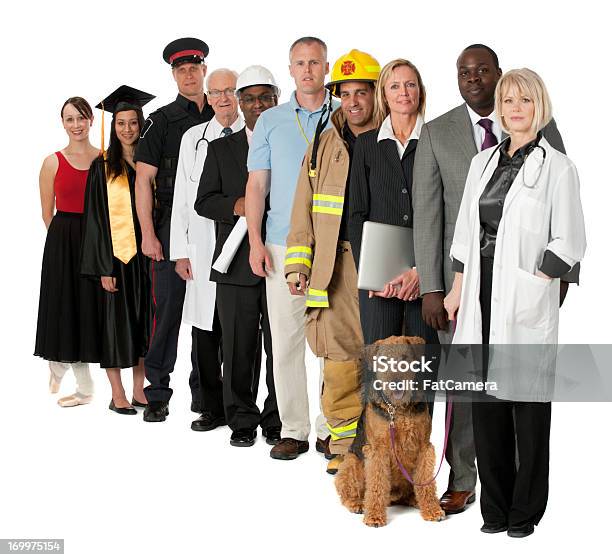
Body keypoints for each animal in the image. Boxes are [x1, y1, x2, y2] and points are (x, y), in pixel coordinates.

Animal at [334, 334, 444, 528]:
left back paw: (415, 500)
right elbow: (377, 484)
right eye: (383, 361)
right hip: (352, 462)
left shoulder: (424, 446)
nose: (396, 383)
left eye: (405, 357)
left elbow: (426, 482)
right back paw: (358, 504)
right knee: (347, 490)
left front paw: (432, 510)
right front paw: (374, 517)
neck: (397, 409)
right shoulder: (377, 450)